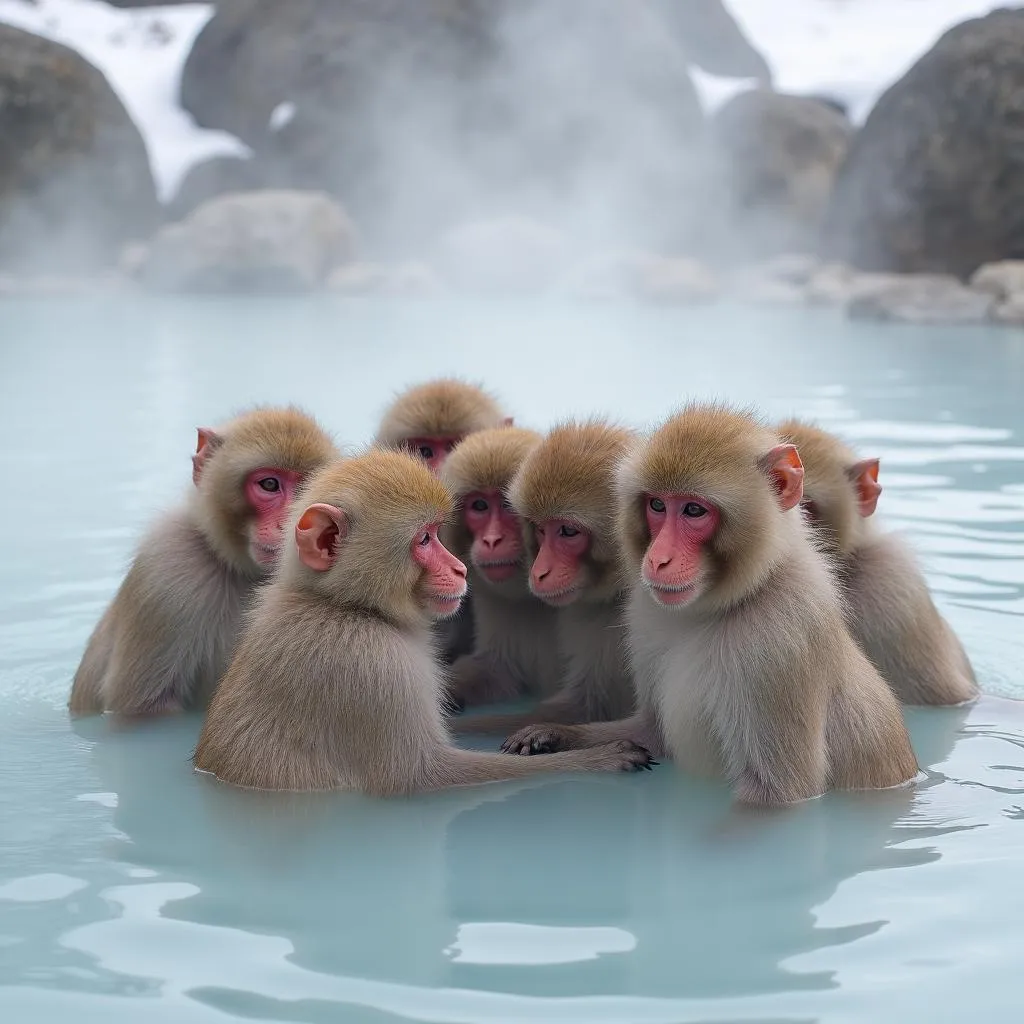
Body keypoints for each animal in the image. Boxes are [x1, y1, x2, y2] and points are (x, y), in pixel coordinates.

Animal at [69, 407, 339, 720]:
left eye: (306, 488)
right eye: (270, 484)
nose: (290, 525)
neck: (241, 570)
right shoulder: (167, 568)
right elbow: (146, 709)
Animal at [192, 448, 655, 790]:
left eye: (436, 533)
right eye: (425, 539)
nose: (459, 569)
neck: (342, 605)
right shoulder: (376, 668)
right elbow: (424, 777)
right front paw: (594, 758)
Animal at [503, 401, 921, 806]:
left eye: (693, 510)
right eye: (657, 505)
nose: (658, 559)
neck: (722, 606)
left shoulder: (779, 645)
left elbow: (778, 795)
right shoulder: (644, 616)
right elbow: (651, 733)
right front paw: (553, 734)